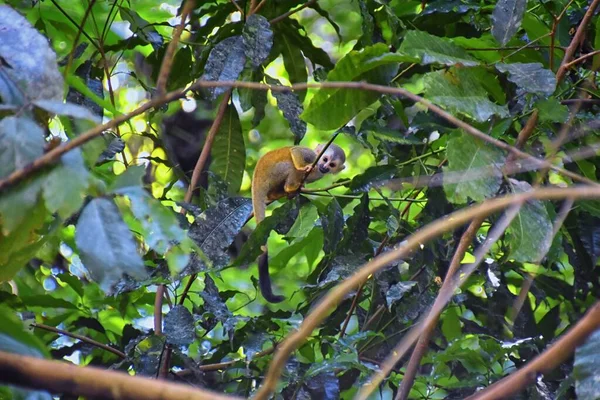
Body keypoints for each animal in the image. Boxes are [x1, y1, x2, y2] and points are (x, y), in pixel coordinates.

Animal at [251, 144, 346, 304]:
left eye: (332, 165)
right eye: (325, 159)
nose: (325, 167)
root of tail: (257, 175)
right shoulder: (312, 157)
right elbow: (295, 151)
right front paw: (304, 167)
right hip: (274, 172)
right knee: (291, 166)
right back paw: (290, 187)